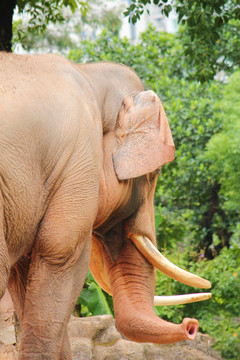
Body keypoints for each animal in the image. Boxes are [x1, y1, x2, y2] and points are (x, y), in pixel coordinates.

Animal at [0, 53, 210, 360]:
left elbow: (26, 272)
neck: (90, 73)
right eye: (154, 174)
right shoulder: (79, 160)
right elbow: (60, 252)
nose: (191, 325)